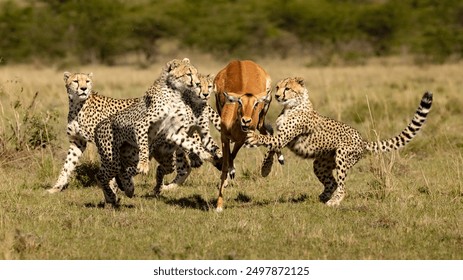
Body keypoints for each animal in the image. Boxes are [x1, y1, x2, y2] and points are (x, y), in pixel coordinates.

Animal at [94, 58, 221, 206]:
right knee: (101, 176)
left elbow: (193, 144)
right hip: (113, 159)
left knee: (120, 172)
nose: (197, 84)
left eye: (196, 73)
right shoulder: (141, 124)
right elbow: (144, 144)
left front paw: (209, 155)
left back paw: (125, 191)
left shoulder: (175, 132)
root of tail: (98, 126)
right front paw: (144, 165)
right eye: (188, 74)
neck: (175, 92)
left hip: (129, 158)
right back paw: (112, 196)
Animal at [214, 59, 282, 212]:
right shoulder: (224, 137)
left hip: (261, 120)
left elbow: (231, 157)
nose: (246, 120)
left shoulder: (243, 138)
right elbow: (226, 163)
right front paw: (219, 204)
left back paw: (270, 166)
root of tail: (241, 61)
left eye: (256, 103)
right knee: (269, 132)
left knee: (269, 132)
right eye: (239, 102)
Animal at [248, 76, 434, 206]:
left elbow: (268, 140)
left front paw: (253, 137)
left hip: (343, 156)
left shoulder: (283, 137)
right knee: (333, 183)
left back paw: (334, 201)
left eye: (287, 88)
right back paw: (324, 196)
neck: (292, 105)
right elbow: (270, 149)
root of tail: (362, 139)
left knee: (342, 186)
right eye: (277, 87)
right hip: (321, 164)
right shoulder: (281, 138)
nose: (277, 95)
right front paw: (265, 168)